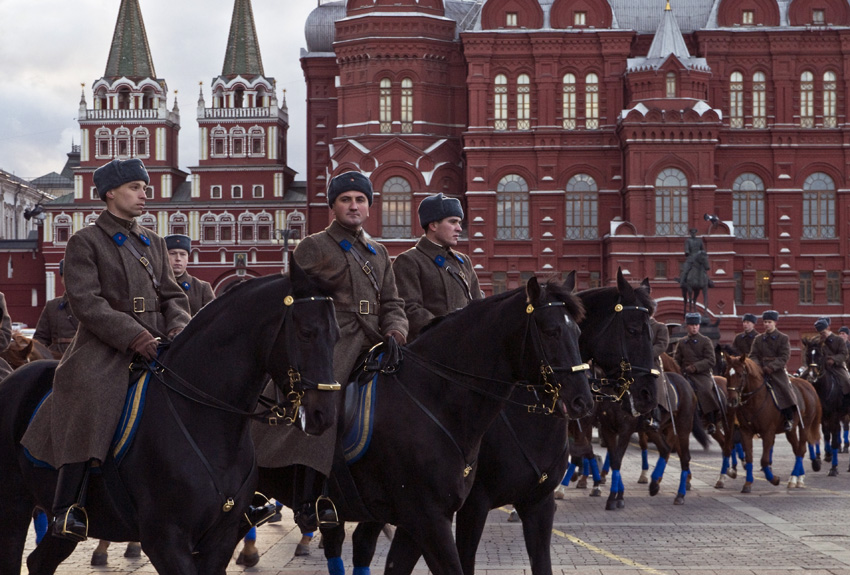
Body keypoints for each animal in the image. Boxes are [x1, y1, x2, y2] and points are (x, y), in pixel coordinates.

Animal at [0, 266, 338, 575]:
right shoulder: (165, 541)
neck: (206, 421)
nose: (324, 413)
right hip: (13, 509)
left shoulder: (220, 540)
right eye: (306, 332)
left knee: (39, 561)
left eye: (336, 332)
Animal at [720, 354, 820, 492]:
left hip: (805, 426)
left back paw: (794, 478)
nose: (731, 401)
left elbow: (764, 460)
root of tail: (808, 385)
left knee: (800, 450)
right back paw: (799, 478)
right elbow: (749, 457)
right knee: (798, 449)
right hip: (791, 430)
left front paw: (774, 479)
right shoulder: (745, 431)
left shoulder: (768, 433)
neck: (754, 400)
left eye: (740, 375)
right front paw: (747, 483)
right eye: (726, 374)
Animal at [800, 336, 844, 474]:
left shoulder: (834, 416)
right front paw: (817, 461)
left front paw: (834, 468)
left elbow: (833, 439)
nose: (812, 375)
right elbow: (814, 437)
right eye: (807, 355)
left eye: (820, 355)